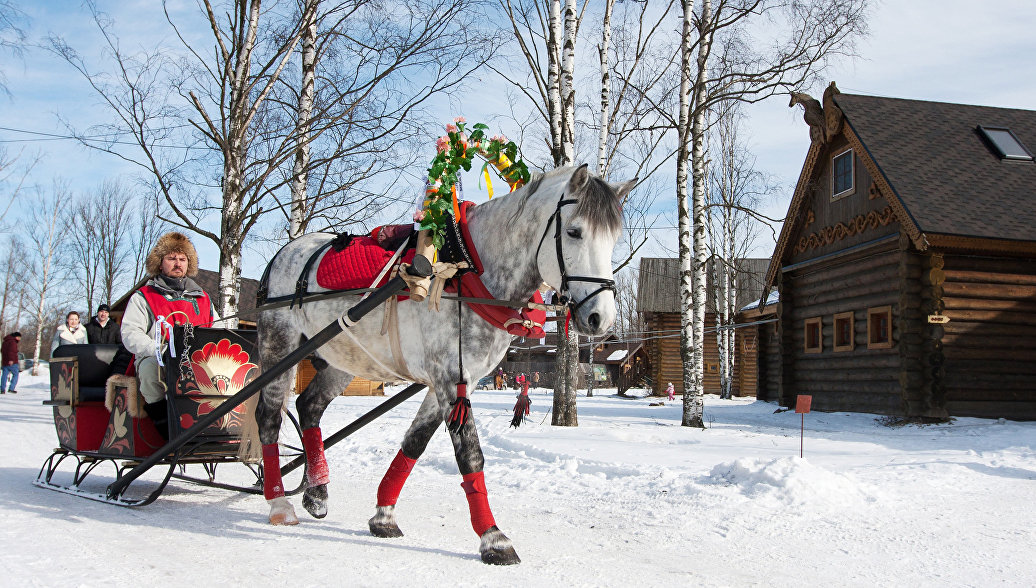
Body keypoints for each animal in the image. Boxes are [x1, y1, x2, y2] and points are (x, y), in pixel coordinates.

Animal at [254, 163, 634, 563]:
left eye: (613, 240)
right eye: (574, 232)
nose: (600, 318)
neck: (468, 272)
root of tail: (285, 252)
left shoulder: (454, 381)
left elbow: (415, 442)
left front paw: (384, 515)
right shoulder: (450, 378)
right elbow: (470, 455)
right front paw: (492, 537)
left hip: (346, 356)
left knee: (308, 406)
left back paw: (317, 492)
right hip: (280, 344)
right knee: (270, 416)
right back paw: (279, 502)